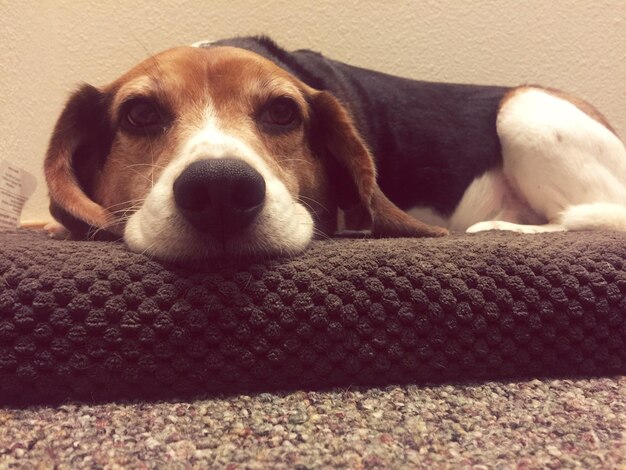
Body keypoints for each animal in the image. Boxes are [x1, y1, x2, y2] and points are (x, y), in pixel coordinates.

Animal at [45, 35, 624, 264]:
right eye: (139, 114)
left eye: (283, 111)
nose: (220, 190)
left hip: (524, 111)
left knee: (591, 215)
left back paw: (500, 227)